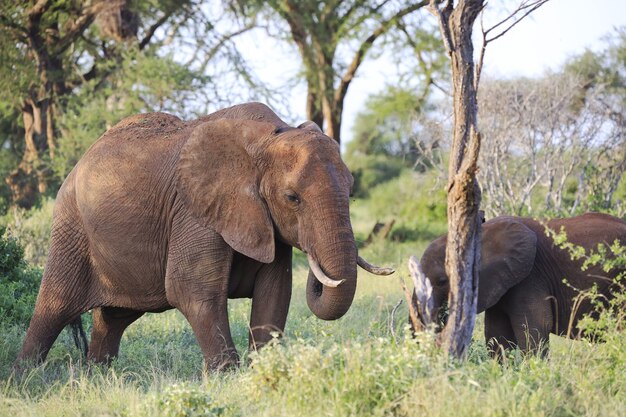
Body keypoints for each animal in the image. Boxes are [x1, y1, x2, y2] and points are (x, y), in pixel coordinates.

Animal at [17, 102, 390, 368]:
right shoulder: (194, 212)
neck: (266, 138)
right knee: (53, 307)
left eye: (351, 189)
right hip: (71, 227)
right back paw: (26, 379)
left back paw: (99, 375)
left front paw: (265, 371)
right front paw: (230, 377)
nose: (320, 270)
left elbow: (275, 293)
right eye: (291, 198)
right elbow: (192, 291)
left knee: (112, 318)